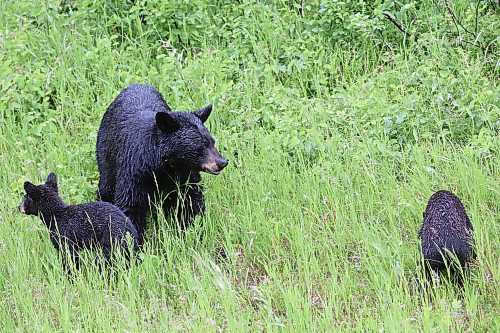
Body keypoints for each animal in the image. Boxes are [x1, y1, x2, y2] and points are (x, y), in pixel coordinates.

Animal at [96, 84, 229, 243]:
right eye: (201, 145)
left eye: (212, 141)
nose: (222, 162)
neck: (165, 166)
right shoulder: (135, 172)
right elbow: (131, 204)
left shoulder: (185, 175)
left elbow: (190, 201)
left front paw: (193, 232)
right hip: (106, 153)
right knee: (106, 186)